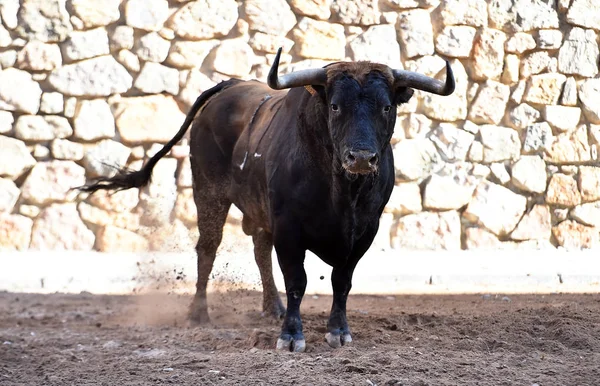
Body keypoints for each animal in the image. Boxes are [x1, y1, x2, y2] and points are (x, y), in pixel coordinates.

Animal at [81, 46, 454, 352]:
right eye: (335, 106)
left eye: (386, 107)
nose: (361, 158)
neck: (342, 192)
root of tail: (229, 87)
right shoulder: (289, 229)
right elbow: (297, 280)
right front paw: (291, 336)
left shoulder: (365, 231)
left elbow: (341, 281)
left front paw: (338, 330)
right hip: (209, 195)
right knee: (208, 249)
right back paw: (199, 312)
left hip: (258, 210)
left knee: (260, 250)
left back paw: (271, 307)